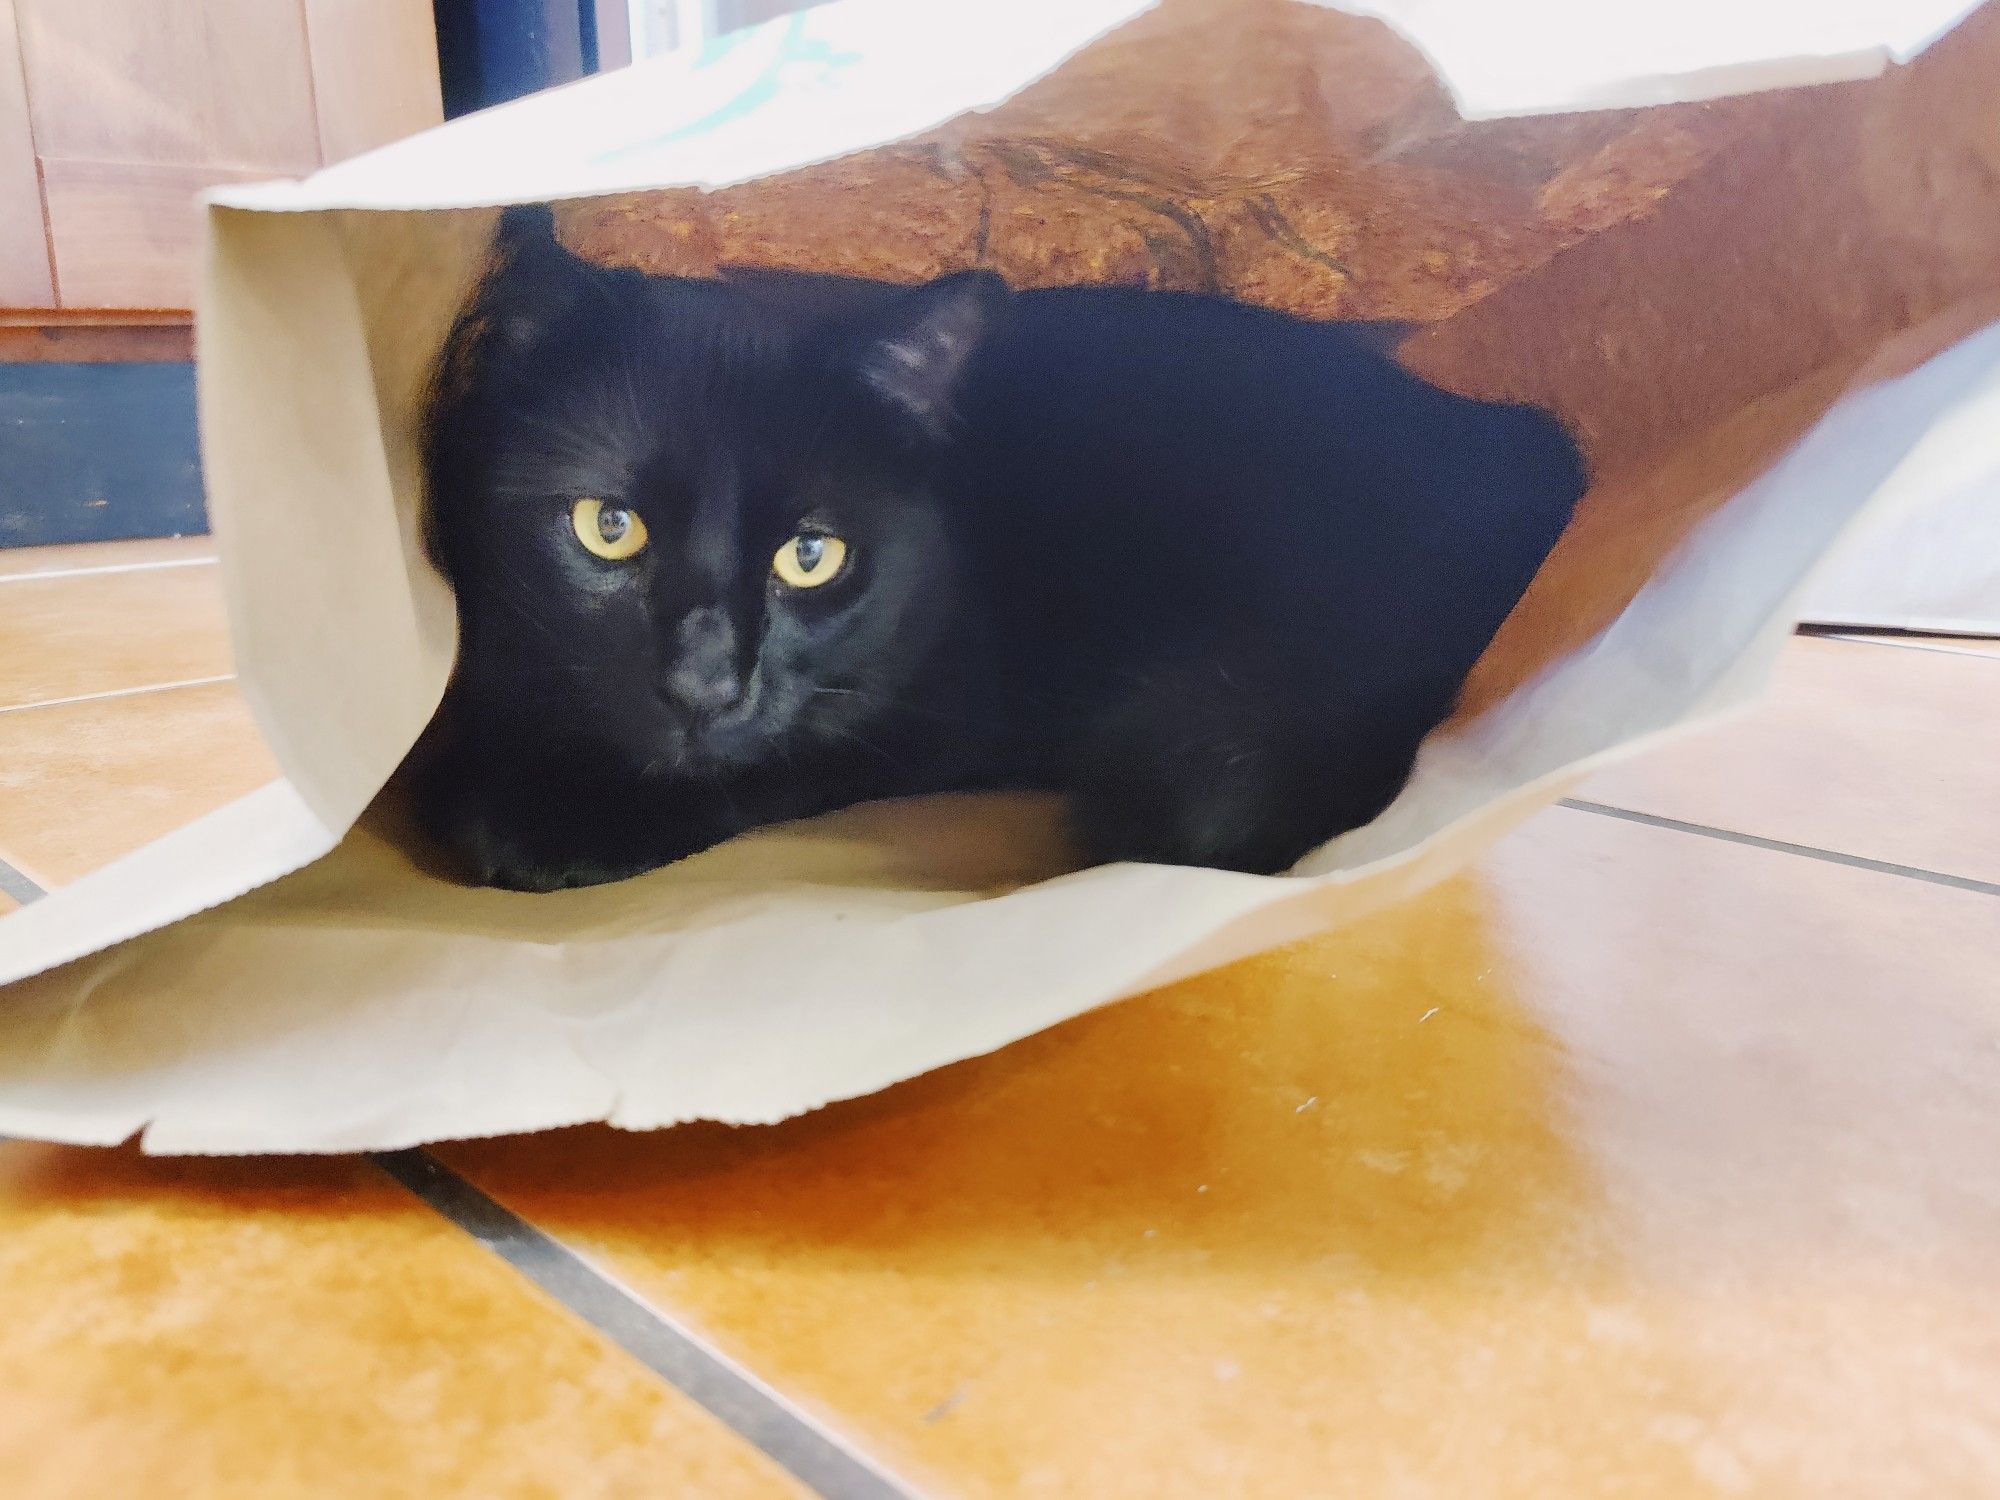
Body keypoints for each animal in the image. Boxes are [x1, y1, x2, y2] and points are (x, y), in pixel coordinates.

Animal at [414, 210, 1584, 892]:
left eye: (811, 556)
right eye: (607, 528)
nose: (706, 684)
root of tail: (1520, 447)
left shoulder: (934, 709)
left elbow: (777, 767)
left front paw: (544, 826)